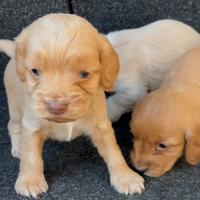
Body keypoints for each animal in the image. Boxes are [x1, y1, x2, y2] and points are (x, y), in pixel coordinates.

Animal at [0, 13, 144, 197]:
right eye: (35, 71)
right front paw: (30, 180)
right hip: (15, 107)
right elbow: (31, 157)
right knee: (13, 126)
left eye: (84, 74)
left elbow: (113, 151)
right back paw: (18, 146)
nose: (56, 107)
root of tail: (14, 50)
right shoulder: (32, 125)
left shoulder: (101, 125)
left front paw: (125, 177)